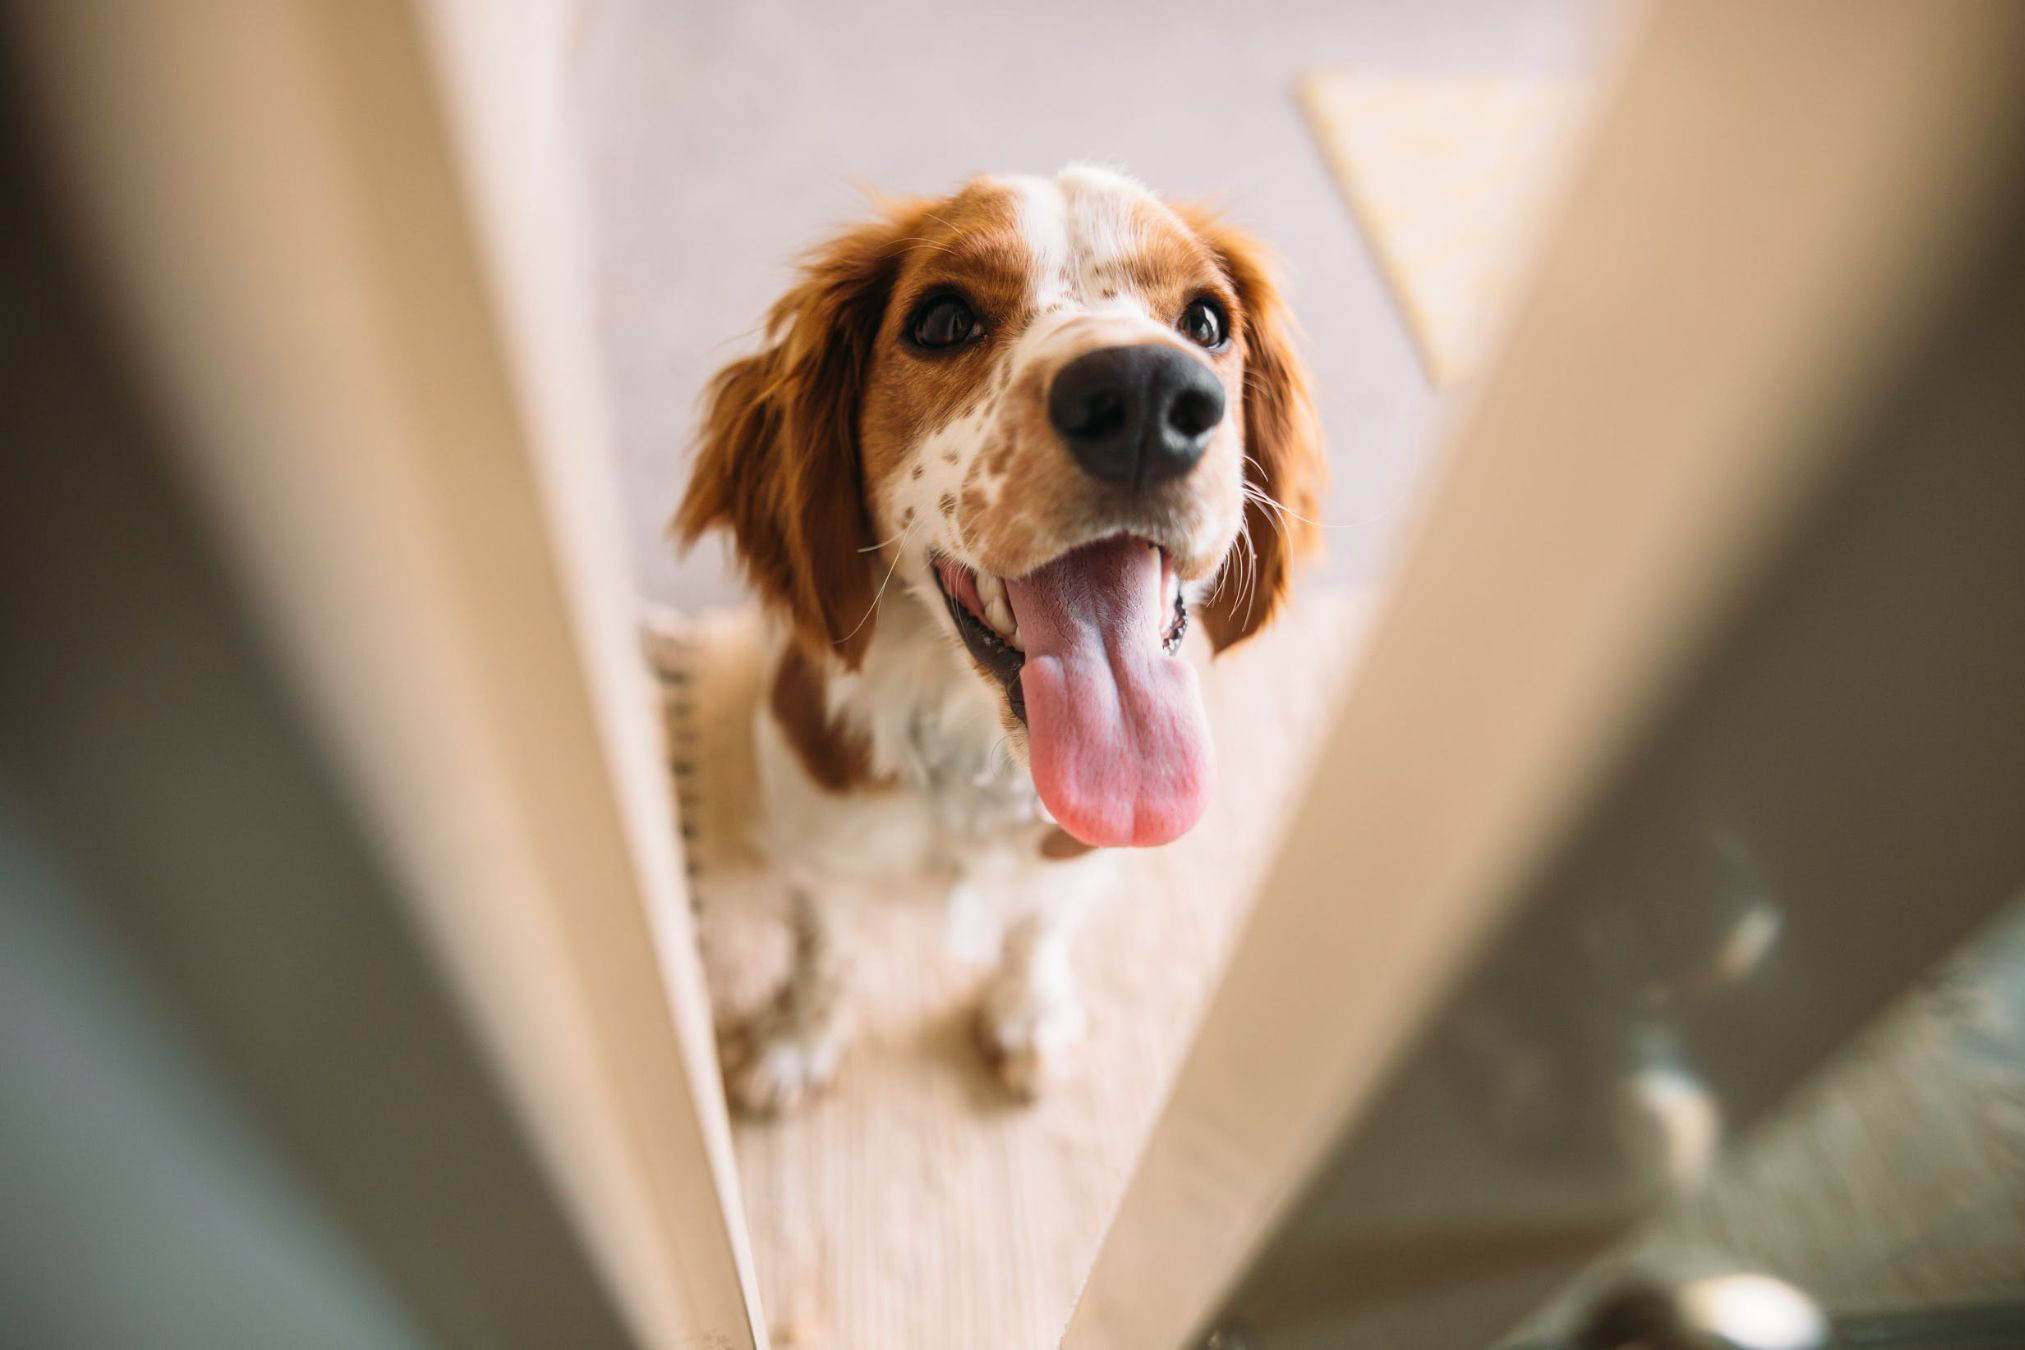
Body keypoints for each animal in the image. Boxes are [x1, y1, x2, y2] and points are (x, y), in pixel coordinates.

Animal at [672, 163, 1320, 1117]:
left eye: (1205, 322)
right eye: (942, 319)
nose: (1146, 396)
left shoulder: (1074, 857)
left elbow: (1038, 925)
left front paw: (1028, 1017)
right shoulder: (819, 831)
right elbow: (821, 942)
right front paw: (796, 1037)